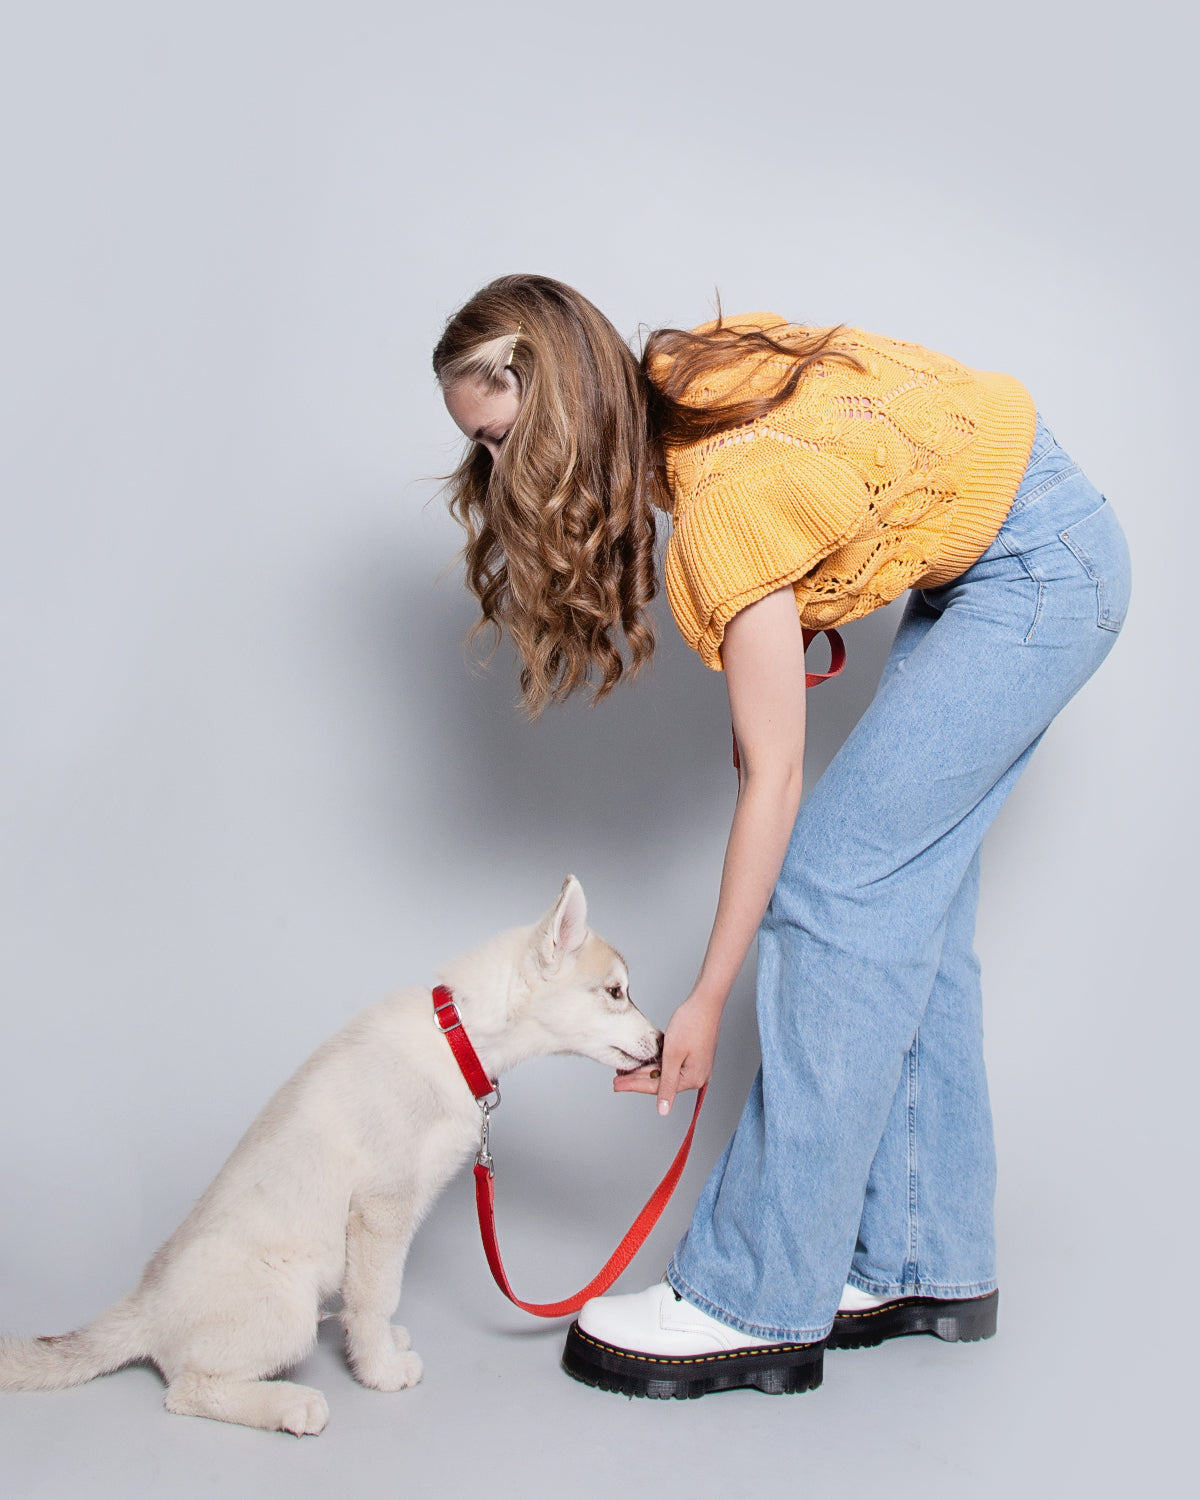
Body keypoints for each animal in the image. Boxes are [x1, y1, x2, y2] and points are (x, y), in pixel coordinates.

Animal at [0, 876, 657, 1434]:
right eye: (616, 993)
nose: (662, 1041)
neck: (457, 1037)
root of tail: (141, 1307)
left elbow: (374, 1300)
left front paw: (379, 1349)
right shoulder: (381, 1210)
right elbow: (374, 1299)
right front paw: (380, 1372)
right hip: (282, 1305)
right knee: (186, 1390)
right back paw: (290, 1405)